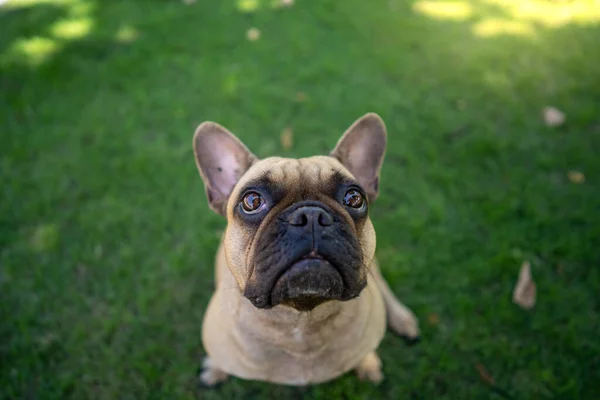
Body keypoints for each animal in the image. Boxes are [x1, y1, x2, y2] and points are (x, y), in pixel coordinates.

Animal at [195, 113, 420, 388]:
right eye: (252, 201)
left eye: (354, 198)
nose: (311, 216)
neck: (300, 320)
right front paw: (216, 368)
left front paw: (367, 362)